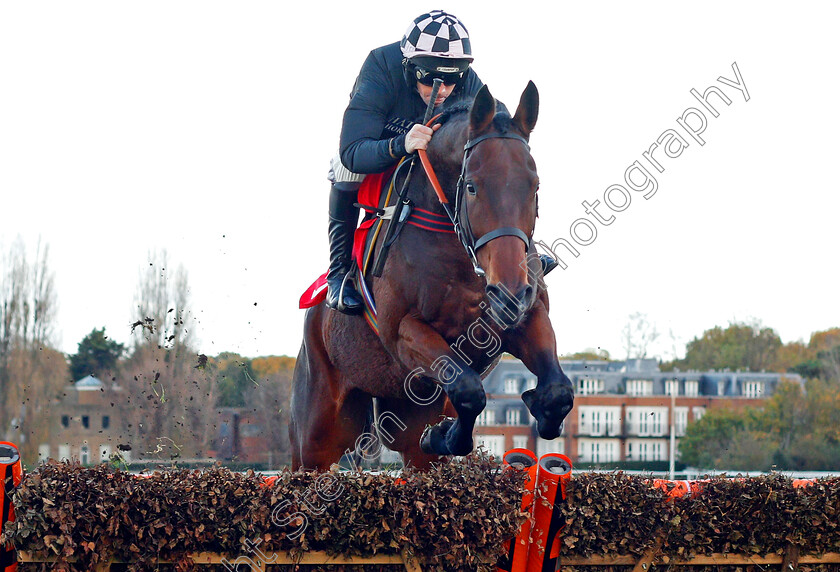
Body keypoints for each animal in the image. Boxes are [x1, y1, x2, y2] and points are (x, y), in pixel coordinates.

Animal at [292, 84, 576, 470]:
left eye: (534, 186)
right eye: (471, 187)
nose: (509, 293)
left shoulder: (527, 316)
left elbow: (557, 390)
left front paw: (543, 413)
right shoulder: (404, 332)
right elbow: (468, 389)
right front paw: (444, 435)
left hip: (405, 419)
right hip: (316, 434)